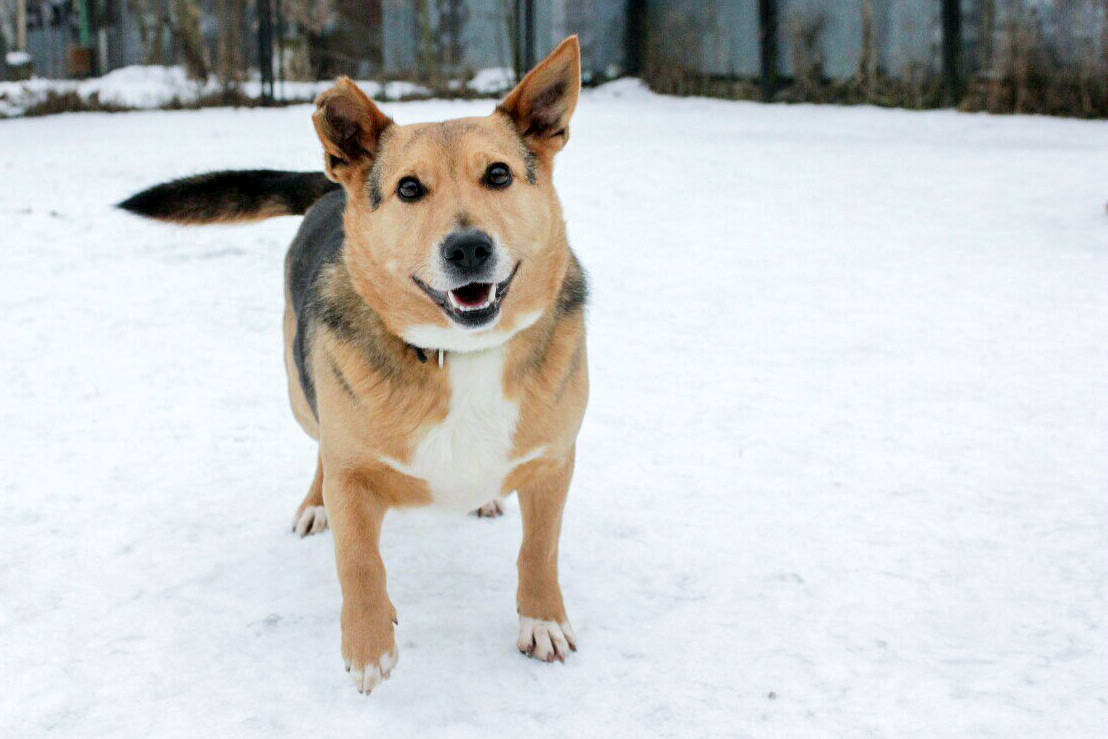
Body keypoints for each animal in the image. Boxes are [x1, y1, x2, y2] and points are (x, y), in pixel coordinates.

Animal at [120, 37, 588, 693]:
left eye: (498, 174)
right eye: (409, 189)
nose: (468, 248)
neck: (459, 352)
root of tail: (327, 190)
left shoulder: (554, 461)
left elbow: (539, 550)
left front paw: (541, 620)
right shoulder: (353, 472)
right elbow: (358, 560)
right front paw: (368, 644)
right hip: (301, 390)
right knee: (319, 445)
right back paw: (314, 506)